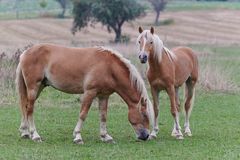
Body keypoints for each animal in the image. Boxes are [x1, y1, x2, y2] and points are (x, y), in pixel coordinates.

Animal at [16, 43, 154, 144]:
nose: (146, 136)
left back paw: (25, 132)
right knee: (30, 109)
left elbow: (103, 115)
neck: (109, 67)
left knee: (25, 107)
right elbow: (83, 114)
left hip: (39, 88)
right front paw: (78, 137)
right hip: (33, 88)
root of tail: (25, 53)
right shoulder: (90, 92)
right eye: (144, 114)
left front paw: (105, 136)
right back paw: (35, 135)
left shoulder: (104, 96)